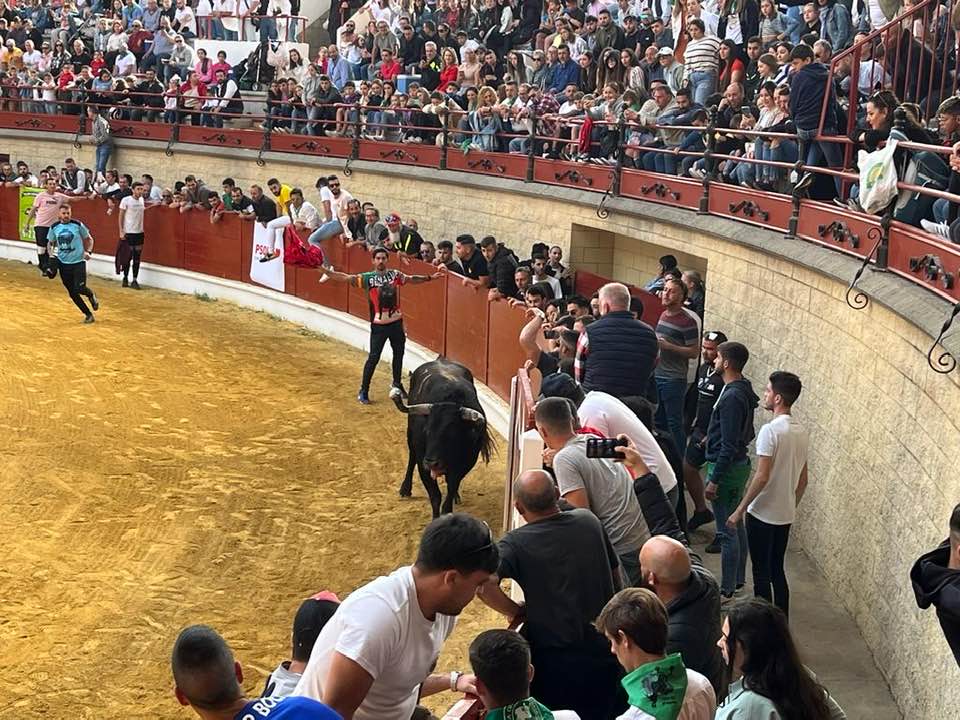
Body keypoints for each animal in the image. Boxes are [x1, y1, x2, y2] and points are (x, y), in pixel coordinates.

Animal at [390, 360, 496, 516]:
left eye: (451, 434)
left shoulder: (463, 466)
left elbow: (450, 491)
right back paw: (405, 489)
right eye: (427, 431)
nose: (432, 463)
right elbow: (435, 496)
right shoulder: (423, 467)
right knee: (412, 458)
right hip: (411, 437)